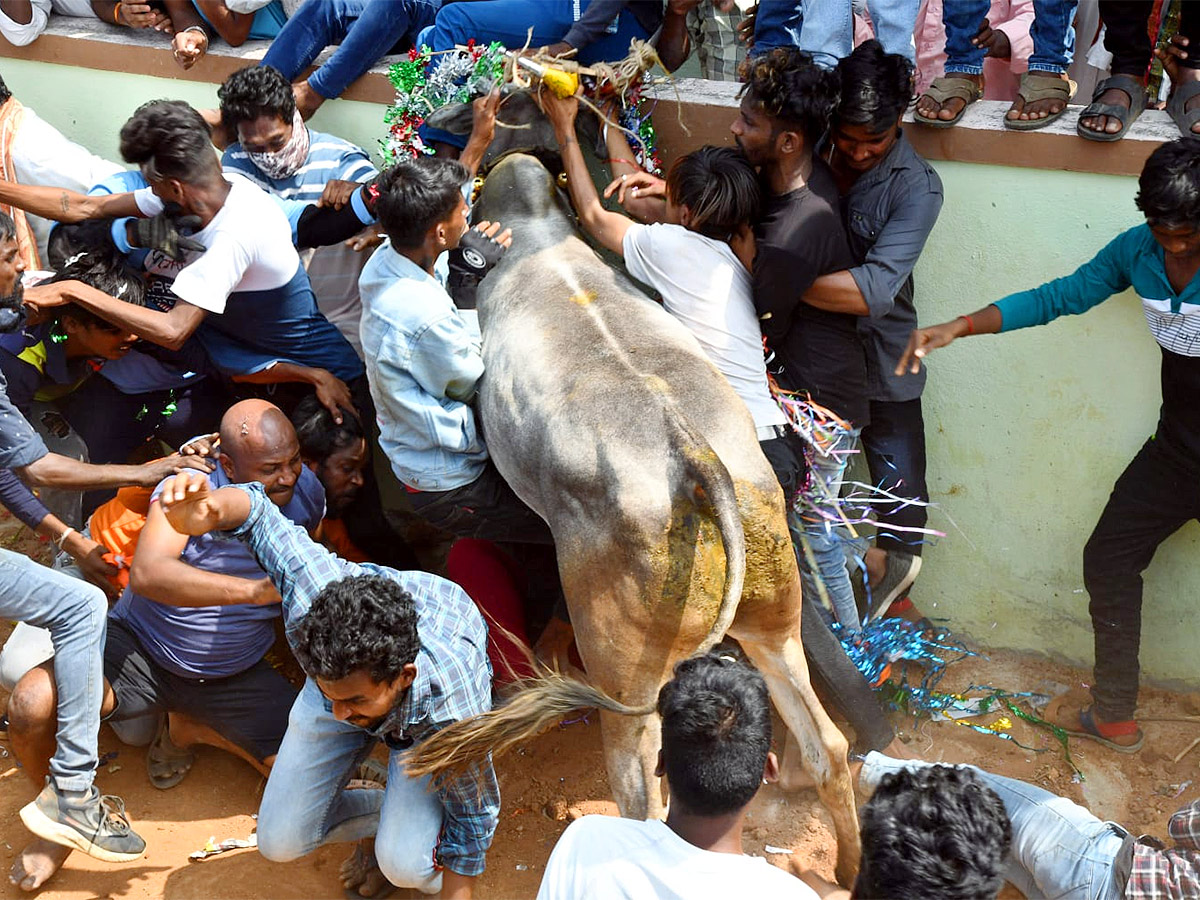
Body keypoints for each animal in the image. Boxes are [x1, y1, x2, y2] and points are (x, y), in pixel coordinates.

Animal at [408, 98, 859, 883]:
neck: (537, 234)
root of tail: (694, 460)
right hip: (775, 612)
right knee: (827, 746)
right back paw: (853, 866)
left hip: (623, 673)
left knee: (644, 794)